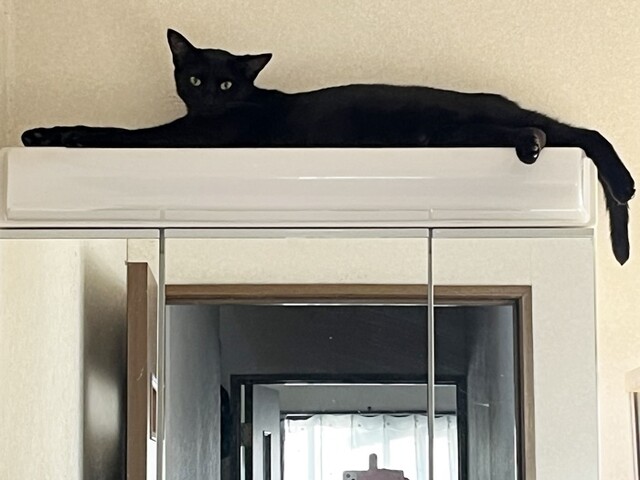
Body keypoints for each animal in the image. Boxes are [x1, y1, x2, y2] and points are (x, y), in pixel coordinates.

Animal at [21, 29, 635, 264]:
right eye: (195, 78)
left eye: (227, 84)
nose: (210, 99)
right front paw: (41, 134)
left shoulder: (193, 139)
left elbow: (123, 135)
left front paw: (63, 134)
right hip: (456, 135)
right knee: (554, 133)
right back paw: (534, 145)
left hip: (467, 122)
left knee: (579, 133)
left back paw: (617, 179)